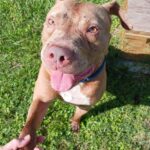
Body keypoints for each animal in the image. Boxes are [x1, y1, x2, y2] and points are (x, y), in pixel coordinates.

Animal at [18, 0, 131, 149]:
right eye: (51, 21)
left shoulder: (86, 104)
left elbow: (78, 114)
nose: (57, 54)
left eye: (93, 29)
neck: (76, 85)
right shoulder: (41, 98)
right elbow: (30, 124)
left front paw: (75, 123)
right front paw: (24, 142)